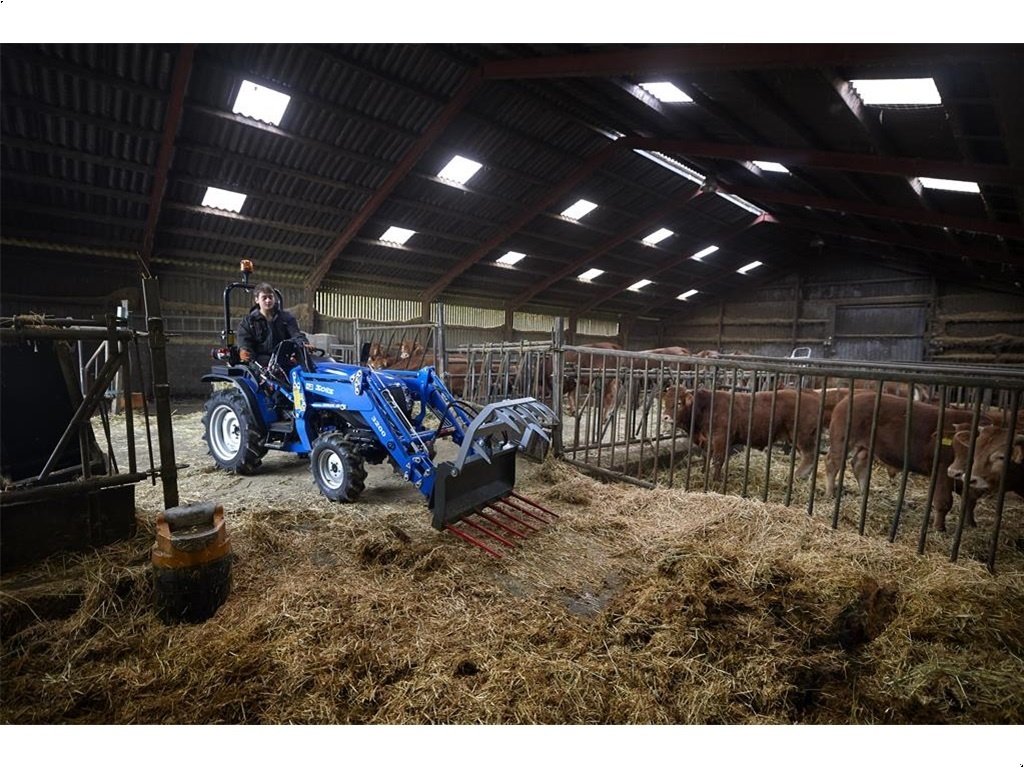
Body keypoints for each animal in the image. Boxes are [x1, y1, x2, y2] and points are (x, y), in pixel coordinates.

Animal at [663, 391, 823, 481]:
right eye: (665, 401)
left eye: (678, 403)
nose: (665, 417)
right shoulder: (708, 440)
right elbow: (706, 456)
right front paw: (704, 472)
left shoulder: (720, 438)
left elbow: (718, 459)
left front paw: (715, 480)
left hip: (803, 436)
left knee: (809, 455)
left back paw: (797, 475)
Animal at [819, 393, 978, 532]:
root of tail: (843, 402)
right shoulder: (942, 466)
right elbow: (944, 500)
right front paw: (940, 529)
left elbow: (970, 500)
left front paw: (971, 524)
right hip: (843, 438)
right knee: (832, 462)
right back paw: (829, 495)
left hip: (865, 446)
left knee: (859, 464)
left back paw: (865, 494)